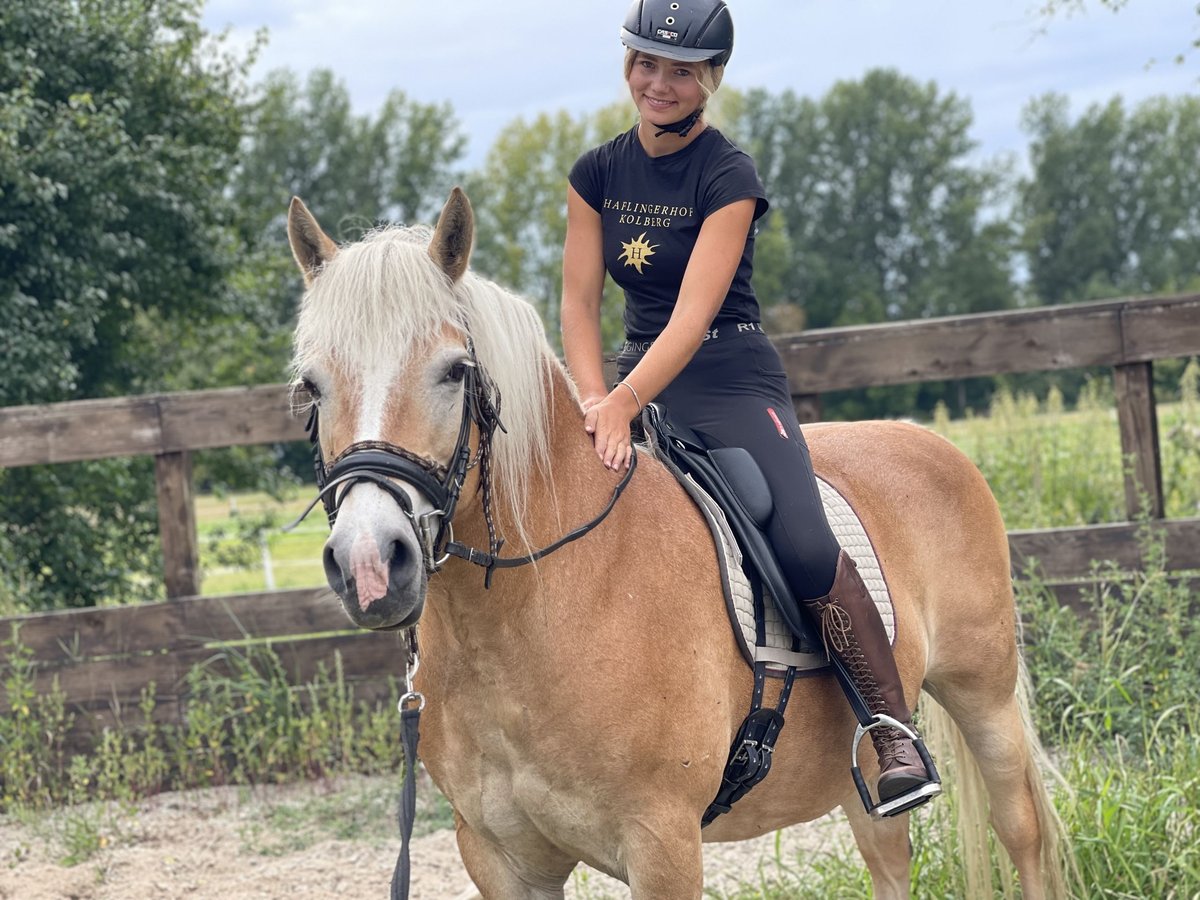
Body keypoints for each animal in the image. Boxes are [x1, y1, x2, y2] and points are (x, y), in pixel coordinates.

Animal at [285, 190, 1075, 900]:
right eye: (311, 386)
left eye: (453, 371)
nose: (369, 562)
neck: (541, 607)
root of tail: (930, 442)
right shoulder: (499, 857)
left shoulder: (661, 845)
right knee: (889, 855)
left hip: (983, 698)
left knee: (1021, 831)